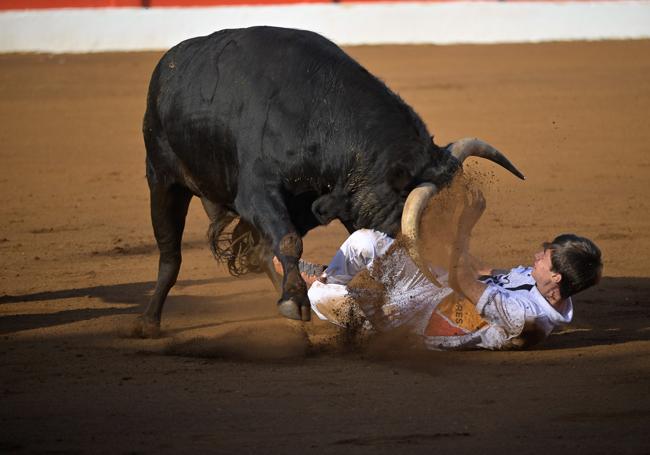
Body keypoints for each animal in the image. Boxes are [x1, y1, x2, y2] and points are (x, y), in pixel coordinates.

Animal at [132, 25, 520, 338]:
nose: (456, 274)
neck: (318, 113)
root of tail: (169, 62)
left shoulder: (323, 203)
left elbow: (277, 245)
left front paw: (298, 303)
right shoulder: (256, 193)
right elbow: (288, 241)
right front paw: (297, 303)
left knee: (257, 251)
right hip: (161, 179)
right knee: (170, 255)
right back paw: (149, 323)